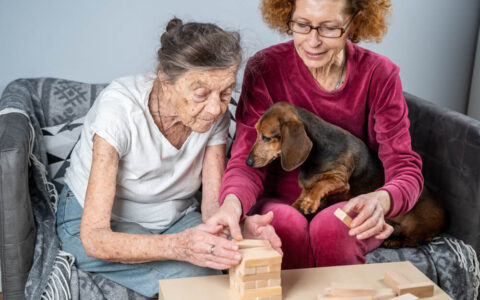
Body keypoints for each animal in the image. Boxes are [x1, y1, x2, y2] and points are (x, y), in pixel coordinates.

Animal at [248, 102, 446, 247]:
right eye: (256, 131)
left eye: (266, 137)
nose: (248, 162)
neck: (318, 152)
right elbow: (306, 191)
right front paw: (300, 203)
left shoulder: (340, 180)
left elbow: (320, 185)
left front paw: (310, 202)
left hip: (415, 226)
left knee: (414, 241)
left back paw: (394, 242)